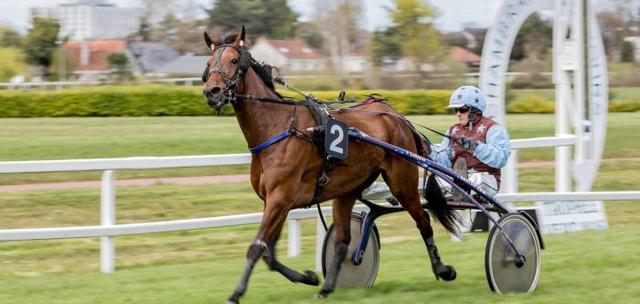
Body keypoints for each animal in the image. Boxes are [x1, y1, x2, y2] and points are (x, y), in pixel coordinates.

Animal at [202, 27, 458, 302]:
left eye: (233, 61)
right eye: (208, 63)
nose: (212, 91)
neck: (277, 127)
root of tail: (394, 114)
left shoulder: (280, 197)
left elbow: (256, 247)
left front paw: (236, 293)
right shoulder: (275, 201)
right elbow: (269, 253)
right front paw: (309, 277)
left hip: (402, 181)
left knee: (423, 220)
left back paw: (442, 269)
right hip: (347, 190)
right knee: (343, 240)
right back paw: (327, 286)